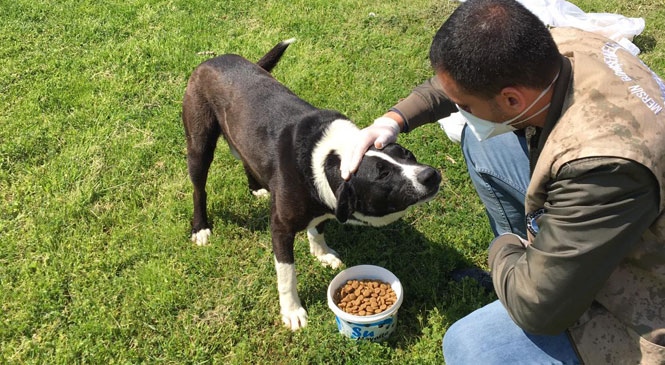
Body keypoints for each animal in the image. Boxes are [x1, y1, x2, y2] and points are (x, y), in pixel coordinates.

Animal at [183, 39, 440, 330]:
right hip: (199, 144)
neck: (331, 157)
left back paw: (256, 187)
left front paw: (321, 253)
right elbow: (287, 274)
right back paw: (200, 227)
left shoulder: (326, 201)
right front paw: (292, 310)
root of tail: (214, 60)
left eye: (407, 154)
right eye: (383, 175)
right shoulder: (280, 228)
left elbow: (318, 228)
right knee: (199, 189)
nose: (430, 175)